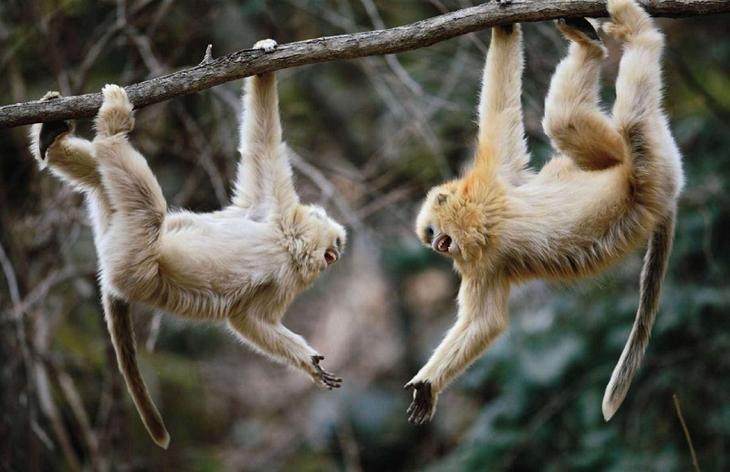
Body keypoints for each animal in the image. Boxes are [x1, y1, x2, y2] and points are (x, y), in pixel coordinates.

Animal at [404, 0, 684, 426]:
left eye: (433, 232)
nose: (437, 246)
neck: (485, 220)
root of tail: (671, 190)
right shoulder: (481, 260)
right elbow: (485, 323)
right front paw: (429, 384)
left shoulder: (492, 180)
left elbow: (500, 108)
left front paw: (503, 26)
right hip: (642, 172)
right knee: (566, 120)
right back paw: (592, 45)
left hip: (650, 168)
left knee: (629, 122)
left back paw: (635, 30)